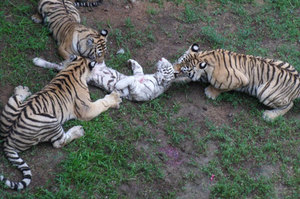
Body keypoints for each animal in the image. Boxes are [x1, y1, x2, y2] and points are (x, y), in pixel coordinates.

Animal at [0, 55, 122, 190]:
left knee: (16, 97)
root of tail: (7, 141)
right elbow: (102, 103)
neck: (76, 67)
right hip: (51, 120)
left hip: (13, 104)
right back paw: (78, 131)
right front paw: (115, 98)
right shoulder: (86, 109)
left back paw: (22, 90)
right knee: (59, 142)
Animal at [32, 57, 176, 101]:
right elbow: (138, 68)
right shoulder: (139, 74)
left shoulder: (138, 90)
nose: (162, 58)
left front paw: (118, 85)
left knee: (56, 66)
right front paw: (131, 61)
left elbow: (129, 81)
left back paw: (37, 61)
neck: (154, 77)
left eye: (166, 66)